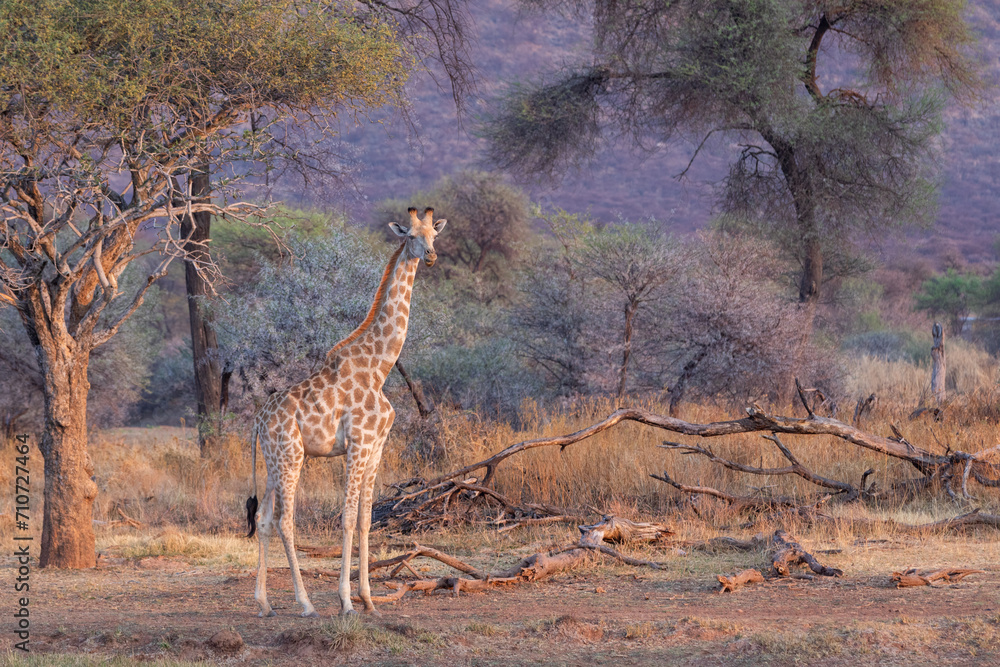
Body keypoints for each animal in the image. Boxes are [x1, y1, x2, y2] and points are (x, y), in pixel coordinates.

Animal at [245, 207, 446, 617]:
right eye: (411, 236)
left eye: (434, 234)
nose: (432, 256)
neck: (380, 366)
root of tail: (258, 421)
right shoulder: (358, 443)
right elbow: (348, 519)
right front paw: (346, 601)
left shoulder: (377, 446)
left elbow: (367, 520)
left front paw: (368, 600)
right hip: (292, 456)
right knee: (286, 520)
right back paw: (305, 603)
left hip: (273, 462)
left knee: (263, 518)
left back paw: (264, 603)